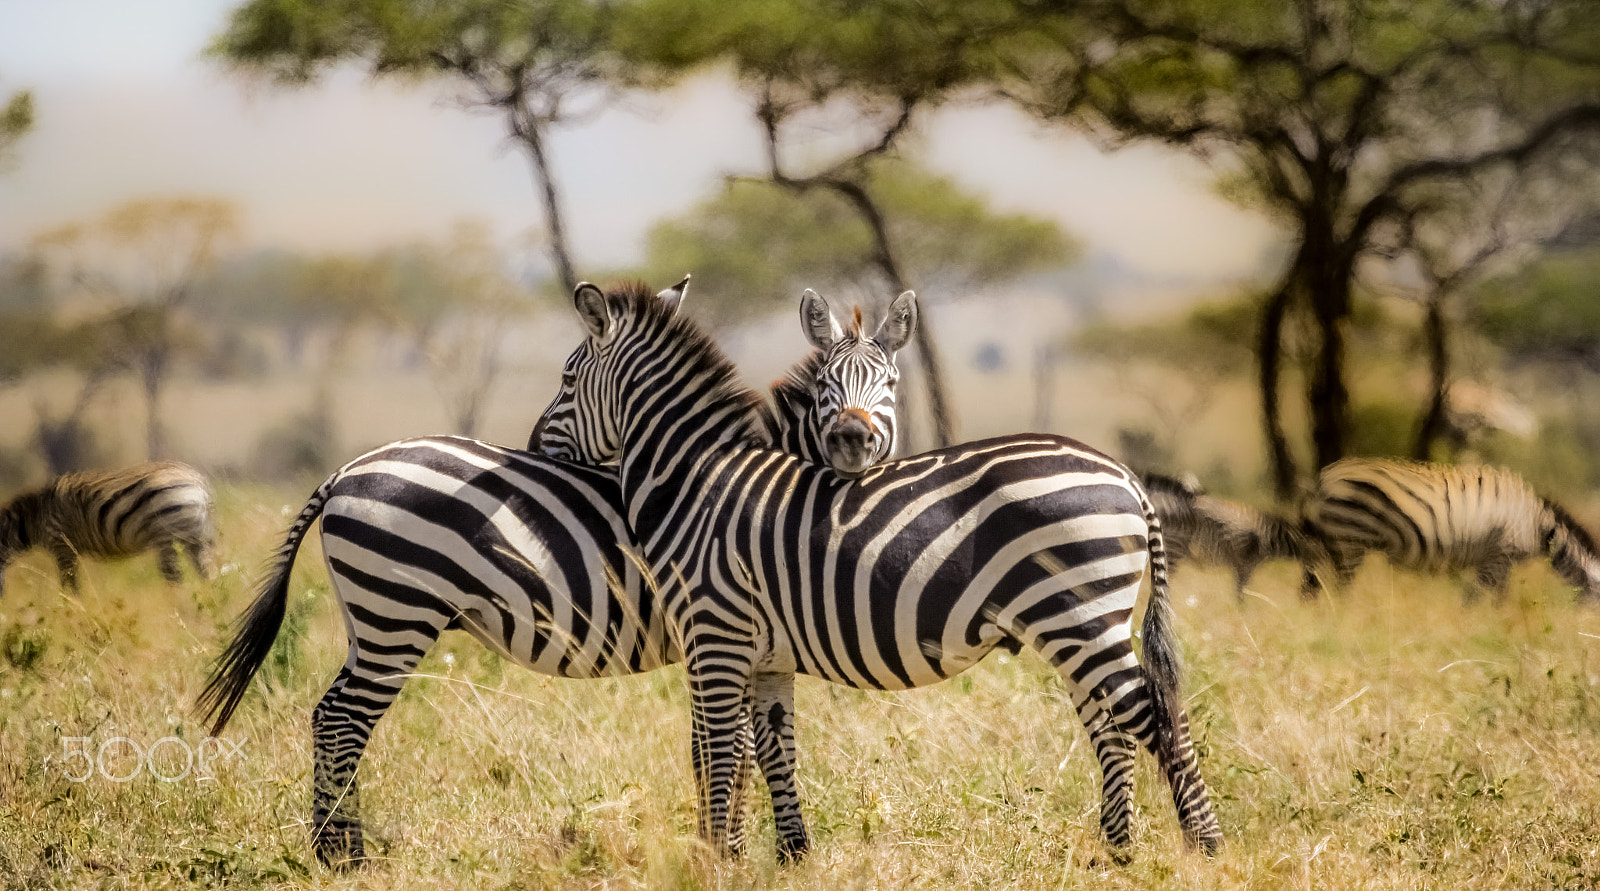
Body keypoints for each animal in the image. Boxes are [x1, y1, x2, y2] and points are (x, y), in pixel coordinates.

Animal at [0, 461, 216, 597]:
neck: (31, 520)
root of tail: (198, 482)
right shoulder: (68, 550)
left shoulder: (61, 544)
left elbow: (70, 585)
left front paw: (74, 612)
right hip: (197, 539)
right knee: (208, 576)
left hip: (167, 538)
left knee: (176, 580)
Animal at [196, 287, 904, 868]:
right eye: (826, 391)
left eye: (892, 386)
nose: (855, 444)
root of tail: (346, 470)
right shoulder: (723, 633)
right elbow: (736, 746)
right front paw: (734, 851)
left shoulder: (748, 641)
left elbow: (759, 746)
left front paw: (775, 853)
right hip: (398, 613)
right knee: (343, 718)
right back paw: (344, 857)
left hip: (368, 618)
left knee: (329, 713)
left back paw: (335, 849)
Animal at [530, 280, 1223, 863]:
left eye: (565, 378)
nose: (535, 446)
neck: (697, 481)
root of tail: (1125, 475)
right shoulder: (764, 655)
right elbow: (773, 750)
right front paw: (788, 856)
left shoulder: (714, 635)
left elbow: (715, 754)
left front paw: (713, 860)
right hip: (1078, 626)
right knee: (1117, 726)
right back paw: (1118, 853)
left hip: (1081, 616)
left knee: (1159, 717)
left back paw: (1206, 851)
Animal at [1142, 473, 1314, 601]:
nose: (1306, 597)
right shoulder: (1246, 564)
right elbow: (1240, 594)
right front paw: (1244, 618)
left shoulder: (1242, 566)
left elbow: (1238, 593)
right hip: (1173, 547)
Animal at [1300, 457, 1600, 602]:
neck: (1538, 526)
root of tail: (1322, 477)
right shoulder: (1499, 559)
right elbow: (1481, 599)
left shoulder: (1495, 564)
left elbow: (1486, 598)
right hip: (1350, 540)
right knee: (1340, 590)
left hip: (1326, 544)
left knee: (1310, 589)